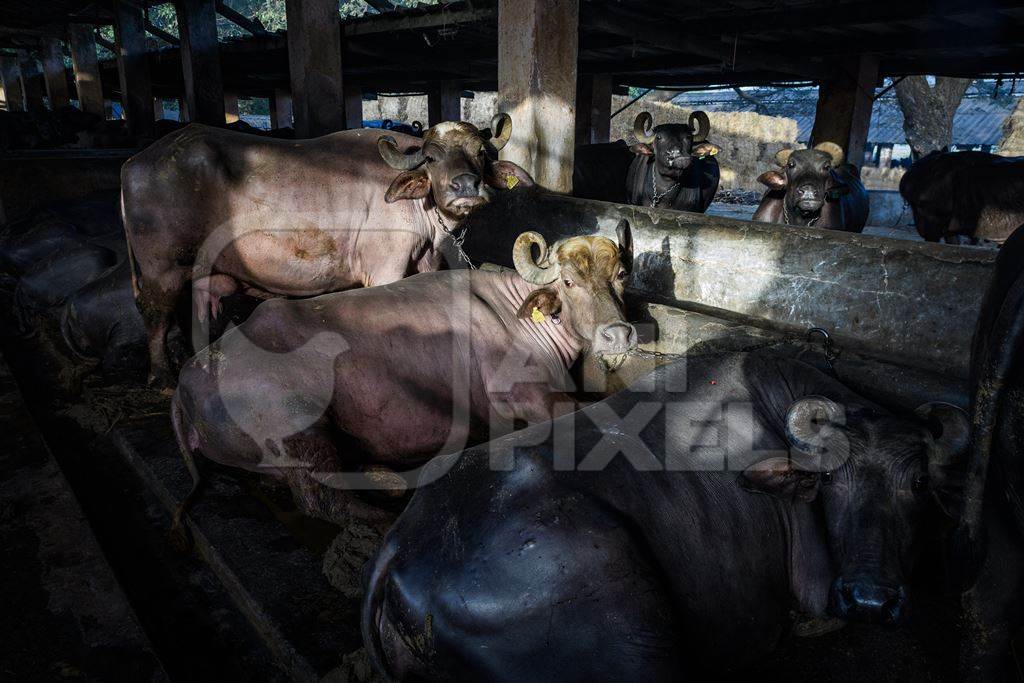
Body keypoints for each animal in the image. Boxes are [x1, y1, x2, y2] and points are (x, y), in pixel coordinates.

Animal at [121, 114, 536, 387]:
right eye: (432, 157)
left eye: (480, 153)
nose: (466, 185)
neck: (423, 219)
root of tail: (135, 161)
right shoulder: (384, 269)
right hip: (161, 267)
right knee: (154, 312)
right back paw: (161, 376)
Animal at [174, 227, 638, 532]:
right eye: (569, 281)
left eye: (619, 277)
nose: (617, 334)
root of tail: (188, 378)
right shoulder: (530, 397)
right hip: (299, 427)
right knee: (325, 500)